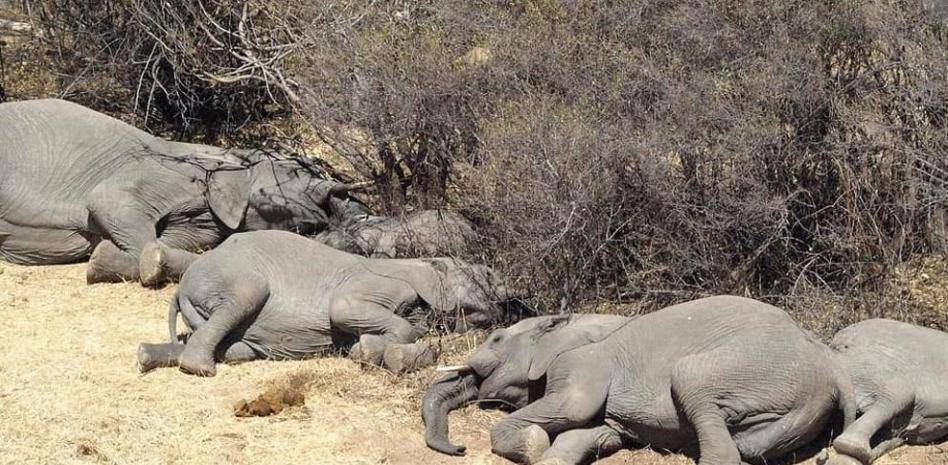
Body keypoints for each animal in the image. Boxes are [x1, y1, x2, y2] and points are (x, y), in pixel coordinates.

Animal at [0, 99, 366, 284]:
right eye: (293, 172)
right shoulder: (165, 171)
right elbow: (108, 201)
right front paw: (109, 259)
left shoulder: (206, 223)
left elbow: (173, 240)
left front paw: (103, 257)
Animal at [135, 228, 524, 376]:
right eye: (486, 275)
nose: (514, 300)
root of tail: (181, 288)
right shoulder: (379, 284)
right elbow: (343, 309)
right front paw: (373, 348)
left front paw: (366, 349)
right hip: (232, 277)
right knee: (246, 297)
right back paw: (199, 368)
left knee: (236, 348)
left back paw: (146, 355)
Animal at [426, 296, 856, 464]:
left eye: (497, 339)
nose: (459, 448)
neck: (573, 319)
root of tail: (835, 371)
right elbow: (590, 434)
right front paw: (545, 453)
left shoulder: (586, 362)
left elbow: (573, 408)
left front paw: (531, 444)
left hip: (753, 364)